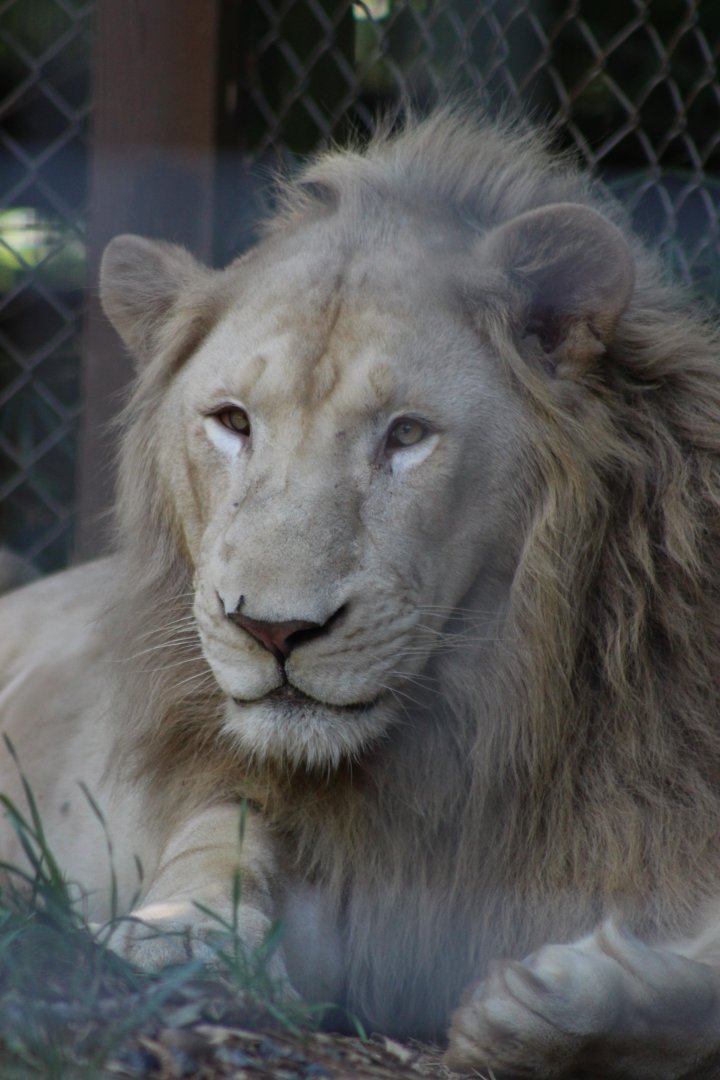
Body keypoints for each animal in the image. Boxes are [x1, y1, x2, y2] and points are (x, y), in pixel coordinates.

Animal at [2, 108, 720, 1079]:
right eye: (232, 422)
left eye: (406, 435)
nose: (273, 632)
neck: (483, 720)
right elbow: (220, 841)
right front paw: (171, 935)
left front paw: (552, 1010)